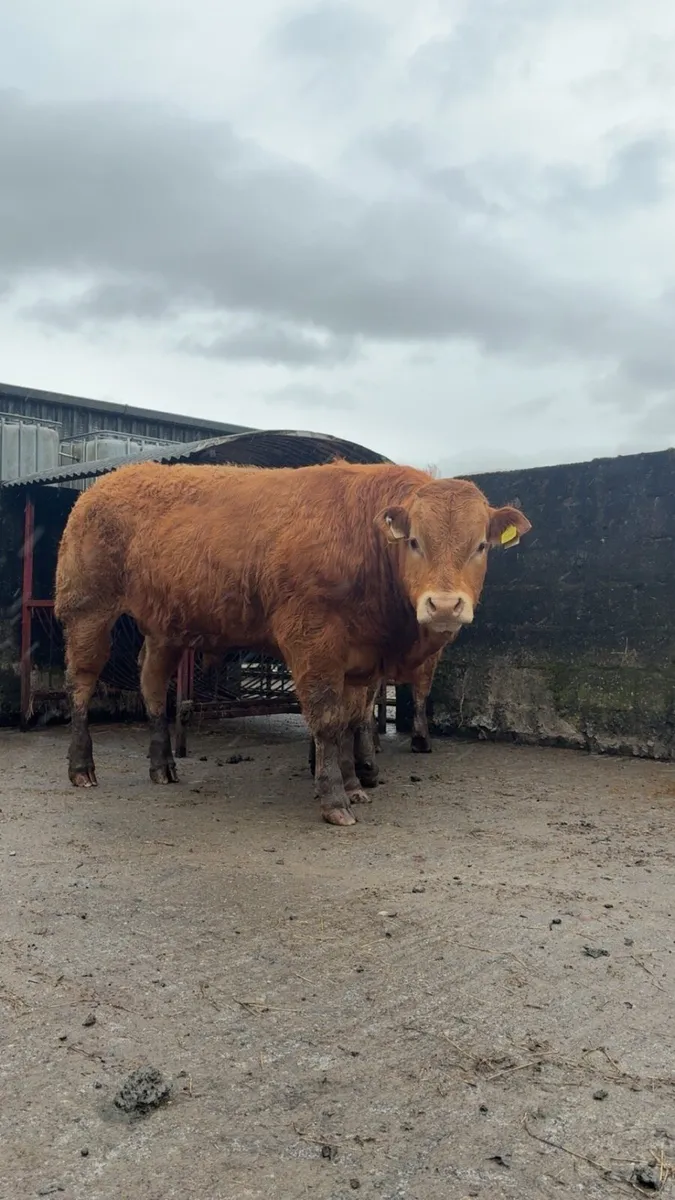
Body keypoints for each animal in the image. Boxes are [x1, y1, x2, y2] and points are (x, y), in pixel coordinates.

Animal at [54, 459, 531, 826]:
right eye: (414, 541)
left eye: (481, 545)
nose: (445, 605)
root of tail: (108, 482)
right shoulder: (313, 641)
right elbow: (328, 721)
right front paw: (335, 799)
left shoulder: (360, 660)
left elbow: (352, 720)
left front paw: (355, 784)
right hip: (88, 607)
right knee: (81, 682)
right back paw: (81, 767)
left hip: (164, 628)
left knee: (153, 687)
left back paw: (163, 766)